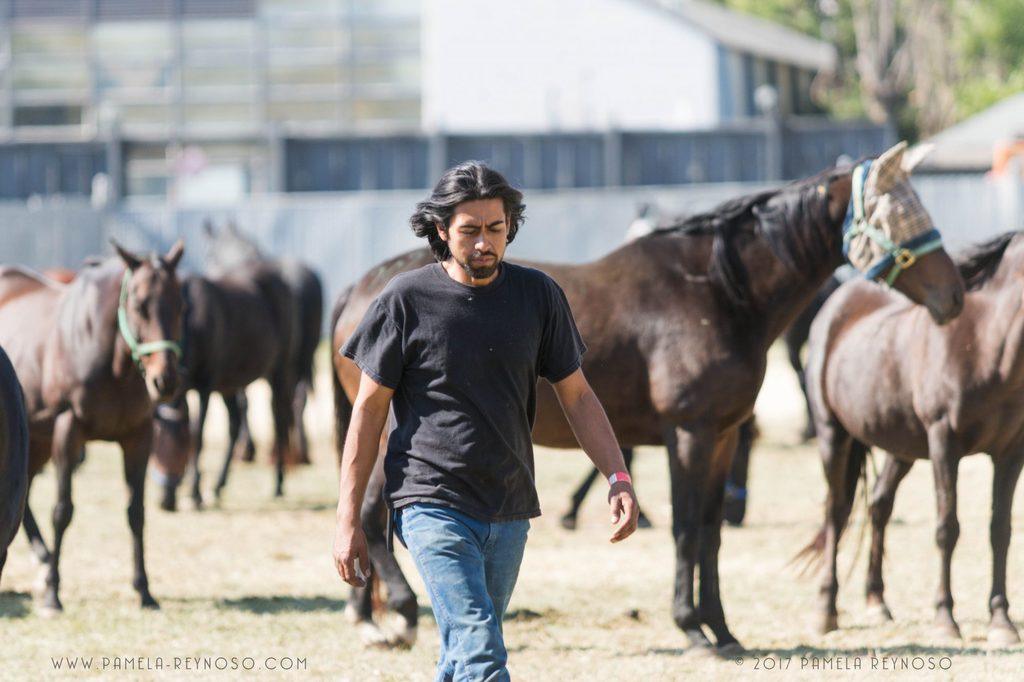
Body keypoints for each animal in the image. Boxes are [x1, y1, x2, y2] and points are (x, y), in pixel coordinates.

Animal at [0, 242, 184, 612]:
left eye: (182, 305)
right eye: (140, 305)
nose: (166, 380)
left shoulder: (138, 436)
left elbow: (136, 513)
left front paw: (144, 590)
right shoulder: (68, 429)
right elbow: (63, 510)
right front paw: (54, 593)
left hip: (37, 440)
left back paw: (43, 556)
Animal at [150, 265, 299, 509]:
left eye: (181, 444)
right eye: (155, 443)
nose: (166, 501)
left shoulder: (205, 387)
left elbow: (198, 436)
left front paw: (195, 492)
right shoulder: (188, 388)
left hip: (278, 371)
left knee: (278, 420)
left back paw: (278, 484)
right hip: (229, 386)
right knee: (235, 425)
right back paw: (219, 484)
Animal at [204, 221, 324, 466]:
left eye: (208, 254)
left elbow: (243, 401)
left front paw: (246, 449)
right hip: (303, 356)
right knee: (296, 396)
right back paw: (297, 452)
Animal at [332, 142, 966, 653]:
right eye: (898, 212)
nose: (954, 295)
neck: (716, 292)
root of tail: (364, 288)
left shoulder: (723, 436)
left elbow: (709, 534)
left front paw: (723, 629)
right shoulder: (688, 434)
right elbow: (686, 529)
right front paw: (692, 628)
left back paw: (371, 617)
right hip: (388, 437)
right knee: (368, 512)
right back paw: (398, 614)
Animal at [801, 230, 1024, 646]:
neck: (988, 341)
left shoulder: (1010, 451)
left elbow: (1000, 531)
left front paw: (1002, 622)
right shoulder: (943, 442)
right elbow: (947, 528)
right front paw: (945, 619)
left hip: (899, 445)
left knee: (878, 506)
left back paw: (877, 601)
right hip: (832, 435)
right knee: (836, 513)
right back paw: (825, 611)